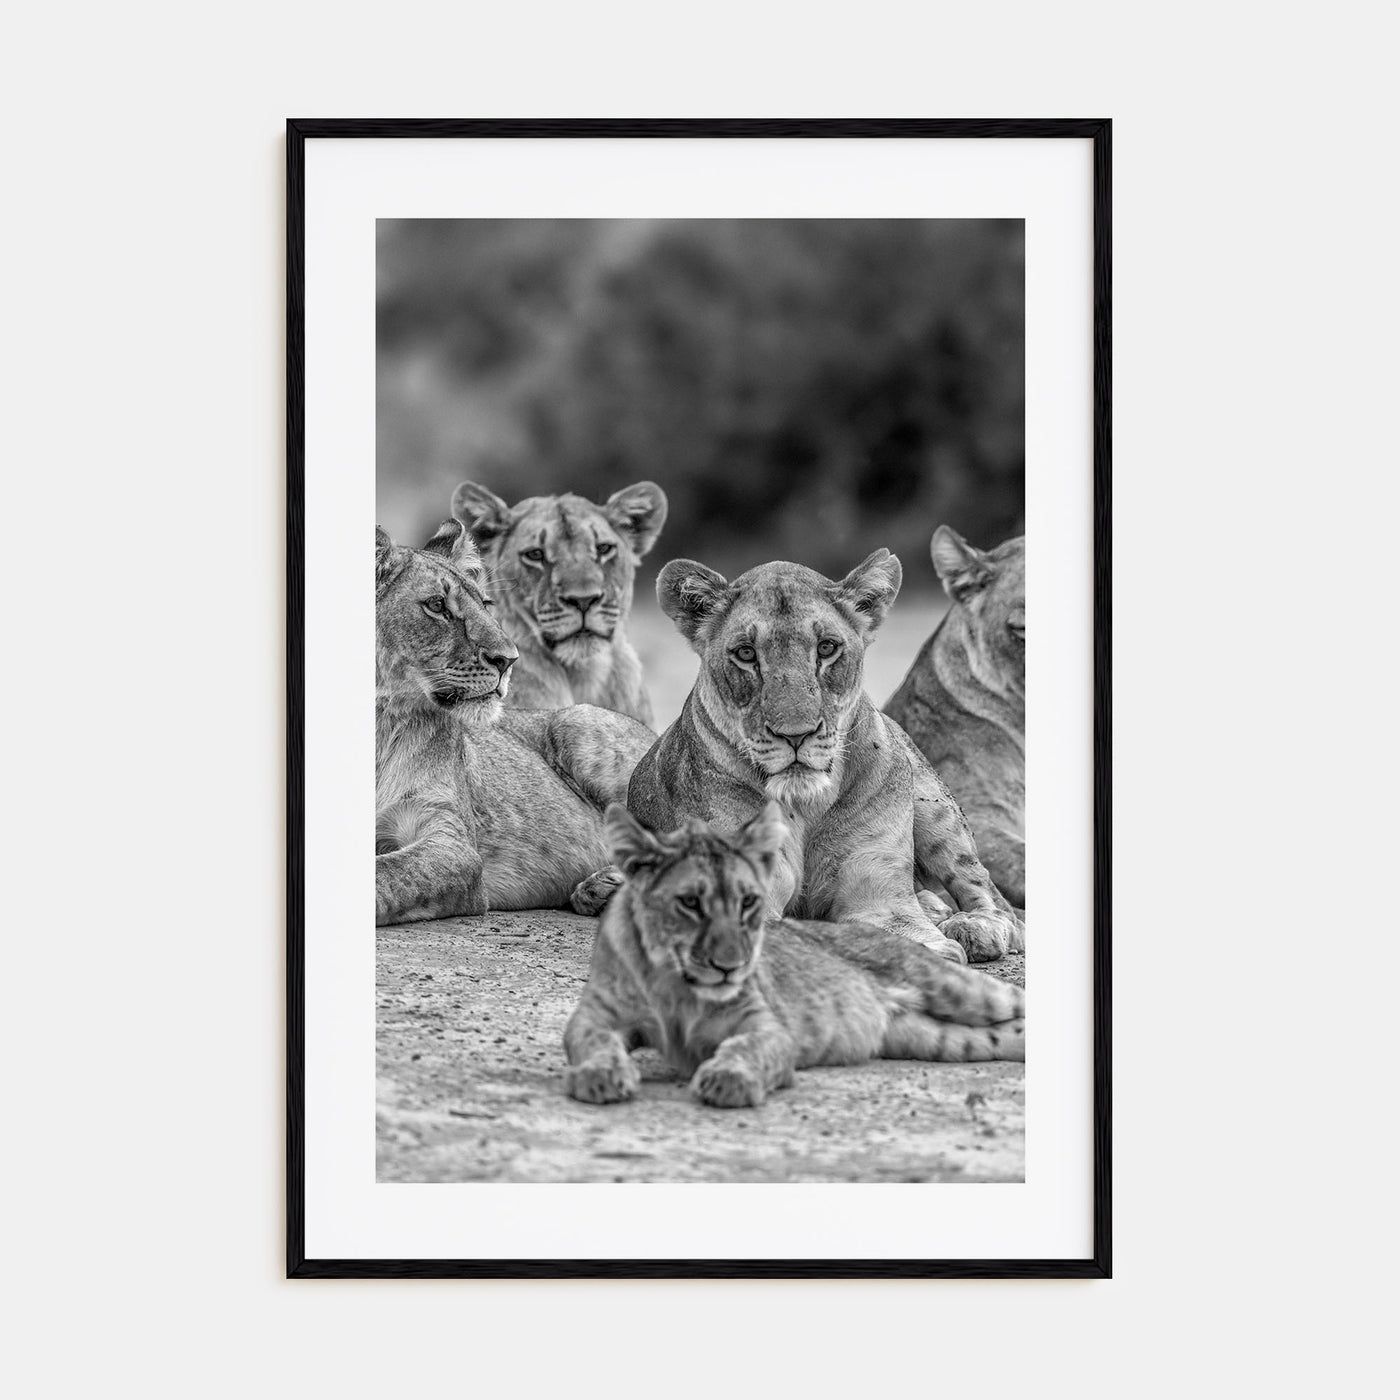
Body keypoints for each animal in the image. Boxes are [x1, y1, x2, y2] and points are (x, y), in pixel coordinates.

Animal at [375, 519, 655, 926]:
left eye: (486, 604)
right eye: (437, 606)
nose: (509, 660)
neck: (379, 723)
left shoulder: (454, 845)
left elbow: (384, 874)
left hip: (577, 720)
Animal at [564, 803, 1025, 1108]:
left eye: (749, 902)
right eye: (690, 902)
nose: (731, 964)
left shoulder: (768, 1026)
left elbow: (748, 1049)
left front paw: (728, 1080)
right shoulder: (594, 1017)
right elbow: (592, 1041)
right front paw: (601, 1076)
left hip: (958, 987)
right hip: (934, 1037)